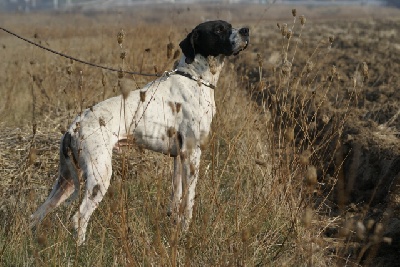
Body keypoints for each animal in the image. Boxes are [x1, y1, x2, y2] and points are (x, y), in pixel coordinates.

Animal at [32, 20, 250, 247]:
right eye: (219, 29)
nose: (246, 31)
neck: (195, 78)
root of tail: (73, 127)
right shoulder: (192, 154)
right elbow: (188, 202)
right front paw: (185, 234)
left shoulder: (179, 157)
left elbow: (177, 197)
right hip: (99, 176)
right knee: (79, 216)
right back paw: (81, 248)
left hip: (65, 180)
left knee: (37, 214)